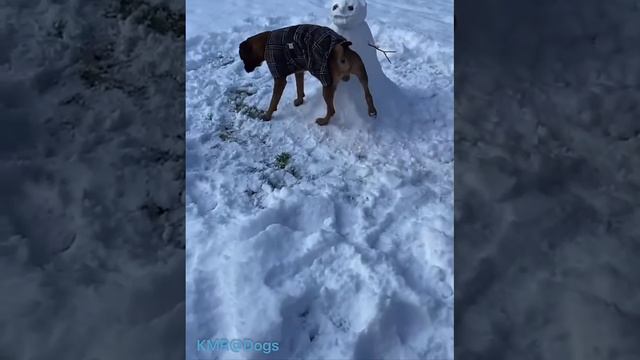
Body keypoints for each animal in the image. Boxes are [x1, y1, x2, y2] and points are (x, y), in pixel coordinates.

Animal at [238, 23, 376, 125]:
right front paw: (299, 101)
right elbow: (299, 88)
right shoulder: (299, 71)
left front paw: (267, 115)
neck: (266, 42)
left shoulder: (279, 78)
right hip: (362, 75)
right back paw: (372, 110)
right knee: (368, 94)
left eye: (243, 58)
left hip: (327, 85)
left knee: (332, 110)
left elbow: (273, 100)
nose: (246, 70)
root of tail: (342, 51)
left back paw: (323, 121)